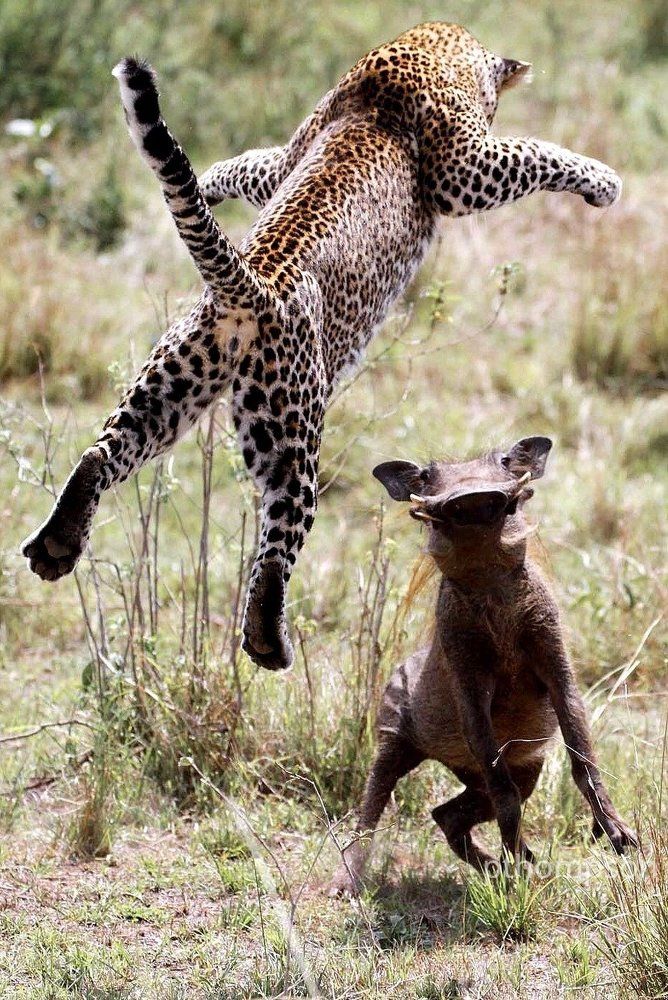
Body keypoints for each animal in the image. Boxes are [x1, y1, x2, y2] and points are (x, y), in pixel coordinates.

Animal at [21, 22, 621, 671]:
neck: (427, 47)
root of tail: (249, 284)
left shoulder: (289, 155)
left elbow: (252, 164)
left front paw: (207, 179)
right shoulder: (463, 168)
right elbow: (535, 151)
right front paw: (603, 181)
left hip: (171, 387)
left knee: (102, 453)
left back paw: (57, 544)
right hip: (291, 431)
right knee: (277, 539)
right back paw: (267, 639)